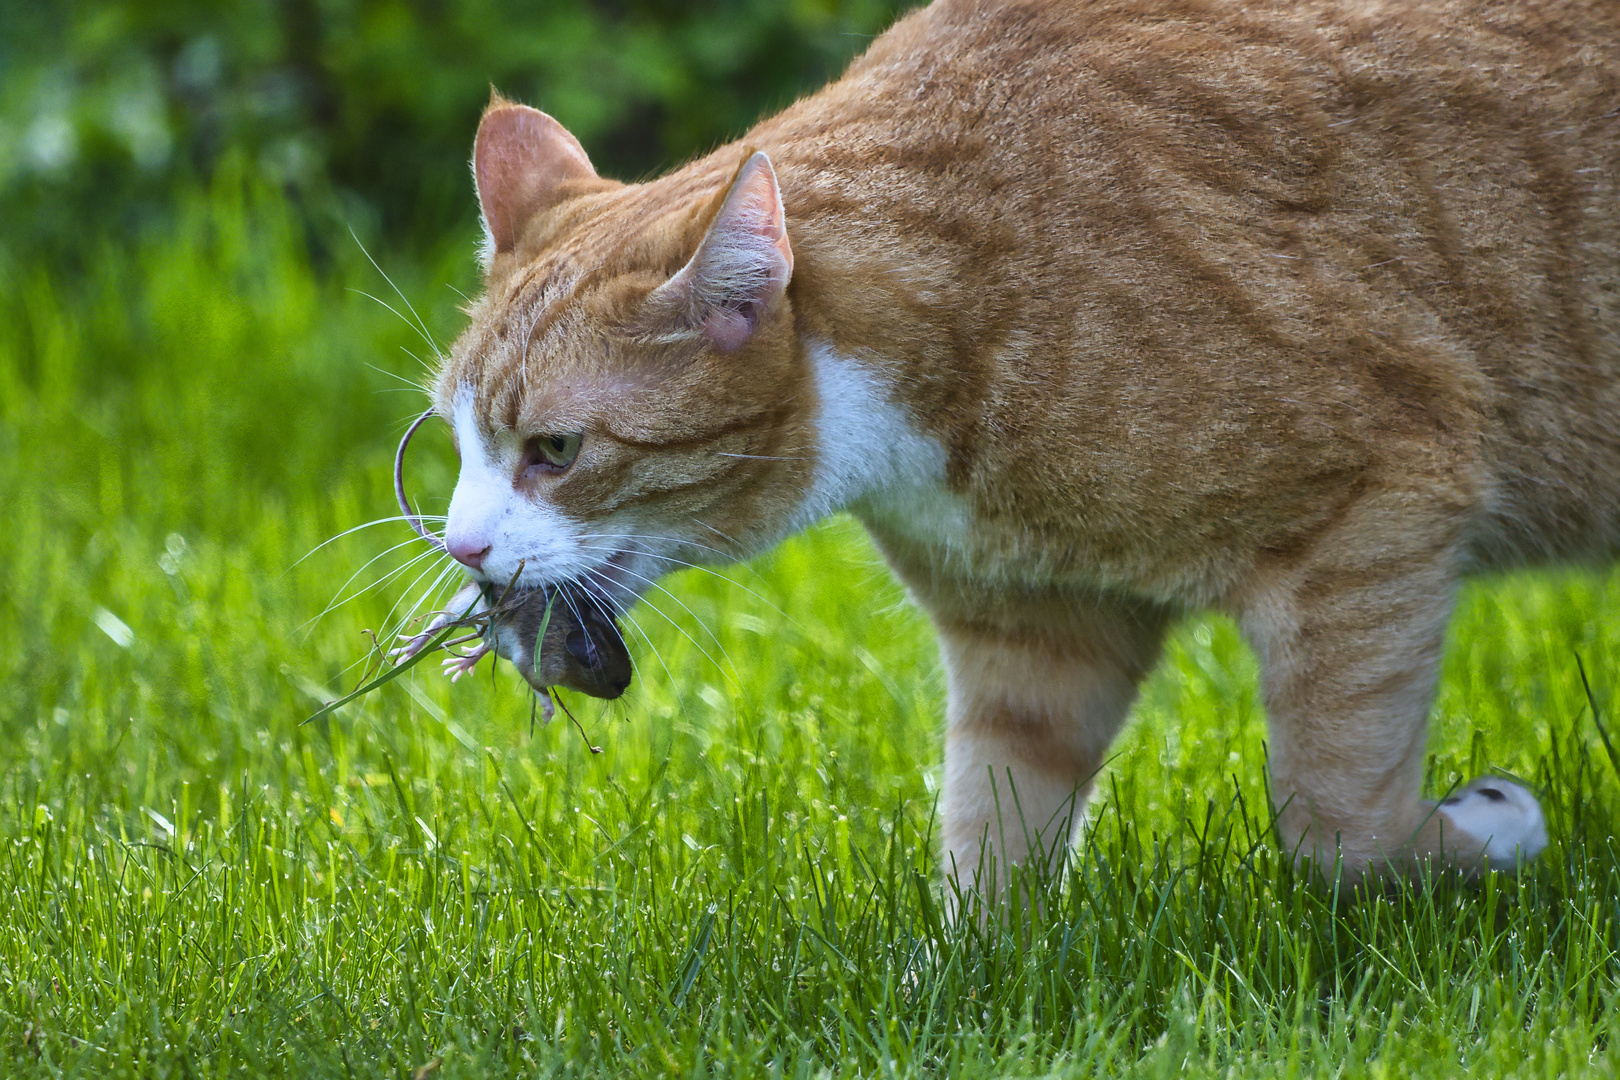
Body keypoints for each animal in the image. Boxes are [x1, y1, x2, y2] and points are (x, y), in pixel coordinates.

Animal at [421, 0, 1620, 893]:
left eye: (556, 449)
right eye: (460, 439)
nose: (462, 548)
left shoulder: (1374, 514)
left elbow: (1335, 821)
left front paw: (1493, 830)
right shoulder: (1032, 632)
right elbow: (991, 839)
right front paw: (953, 984)